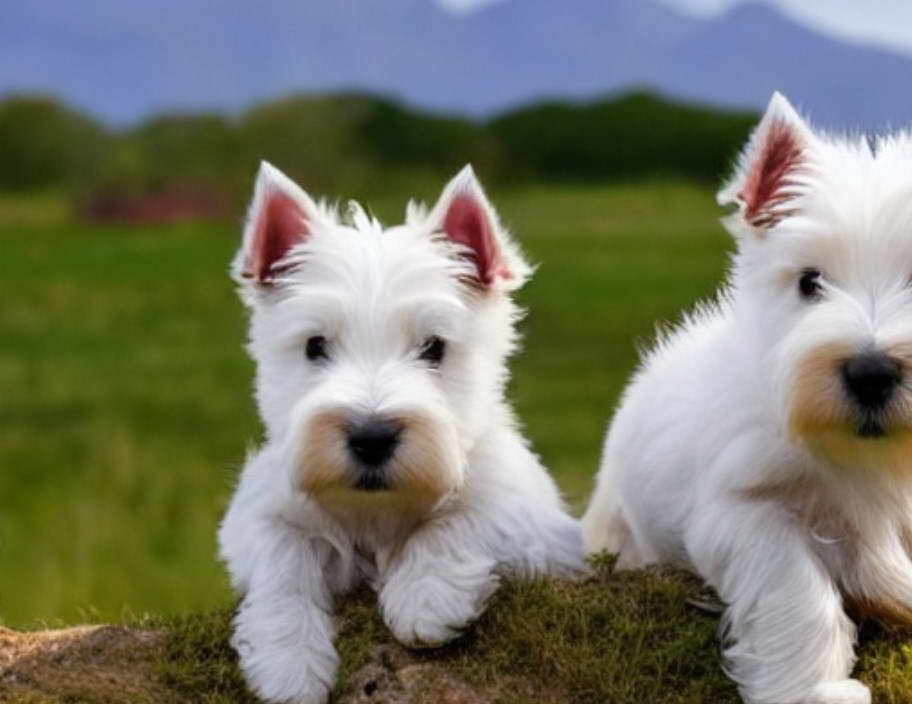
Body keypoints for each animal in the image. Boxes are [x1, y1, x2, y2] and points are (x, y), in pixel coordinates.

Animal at [217, 161, 580, 704]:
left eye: (434, 347)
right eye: (315, 345)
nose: (372, 438)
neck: (375, 509)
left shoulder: (537, 523)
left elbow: (464, 518)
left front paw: (425, 598)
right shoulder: (256, 514)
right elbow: (282, 558)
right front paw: (289, 662)